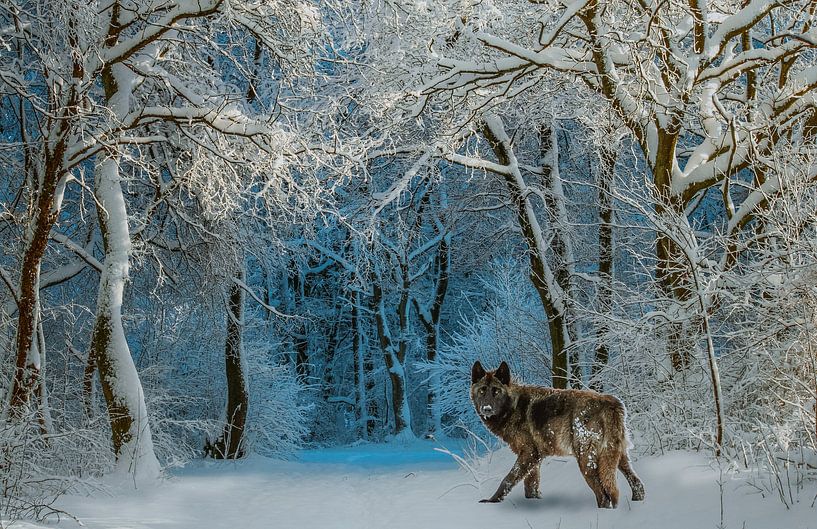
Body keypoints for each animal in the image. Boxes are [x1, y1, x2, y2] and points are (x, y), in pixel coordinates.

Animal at [472, 358, 644, 508]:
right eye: (482, 391)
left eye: (496, 391)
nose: (486, 409)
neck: (513, 407)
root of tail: (611, 403)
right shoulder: (535, 459)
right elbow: (531, 487)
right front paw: (534, 502)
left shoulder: (528, 453)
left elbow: (508, 479)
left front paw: (491, 501)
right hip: (617, 457)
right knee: (637, 484)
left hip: (586, 462)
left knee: (604, 495)